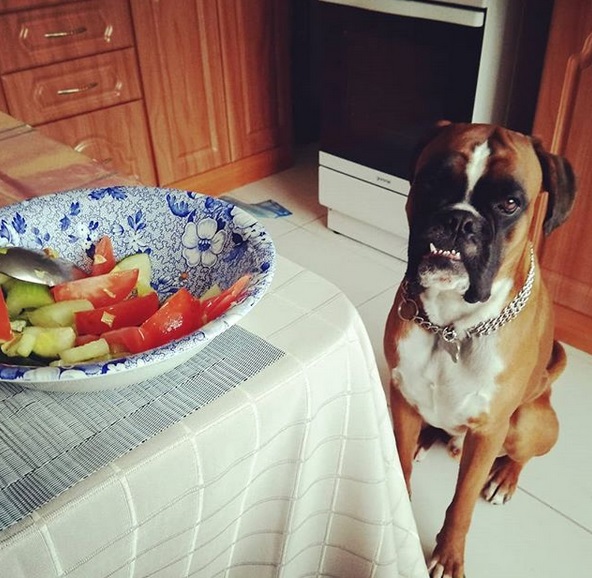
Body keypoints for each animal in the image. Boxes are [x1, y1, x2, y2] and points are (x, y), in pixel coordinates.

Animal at [384, 120, 572, 572]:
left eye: (509, 203)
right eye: (432, 181)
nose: (459, 220)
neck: (450, 328)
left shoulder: (487, 433)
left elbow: (463, 501)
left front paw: (448, 556)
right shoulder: (401, 398)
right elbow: (399, 458)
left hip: (526, 421)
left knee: (520, 456)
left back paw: (504, 478)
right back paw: (427, 439)